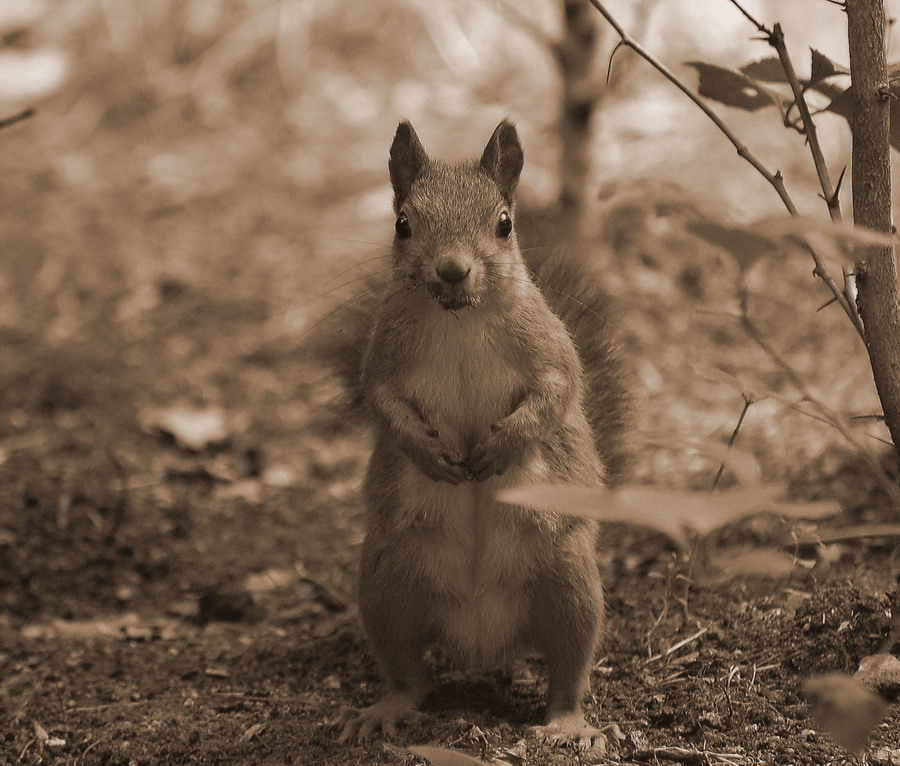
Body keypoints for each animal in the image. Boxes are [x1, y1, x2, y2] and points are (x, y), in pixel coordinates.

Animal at [322, 121, 624, 752]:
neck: (458, 316)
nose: (452, 269)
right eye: (402, 223)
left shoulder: (548, 346)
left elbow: (559, 390)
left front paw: (503, 446)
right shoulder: (383, 356)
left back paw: (568, 723)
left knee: (569, 667)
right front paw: (428, 451)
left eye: (504, 222)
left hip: (568, 581)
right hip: (387, 584)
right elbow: (382, 402)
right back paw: (385, 710)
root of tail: (483, 640)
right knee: (407, 672)